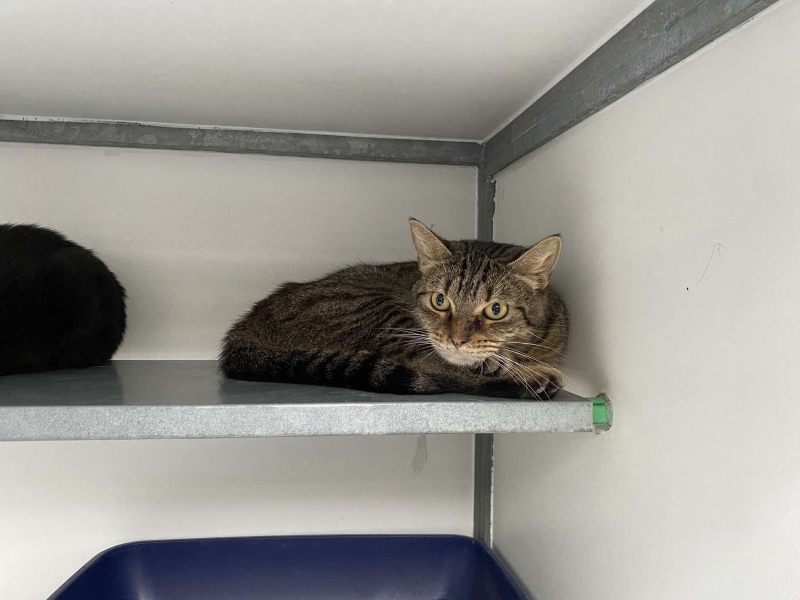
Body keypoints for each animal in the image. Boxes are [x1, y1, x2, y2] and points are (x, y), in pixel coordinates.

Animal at [221, 219, 568, 399]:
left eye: (496, 309)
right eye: (440, 301)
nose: (456, 340)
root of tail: (245, 325)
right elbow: (474, 364)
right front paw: (521, 371)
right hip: (377, 310)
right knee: (435, 368)